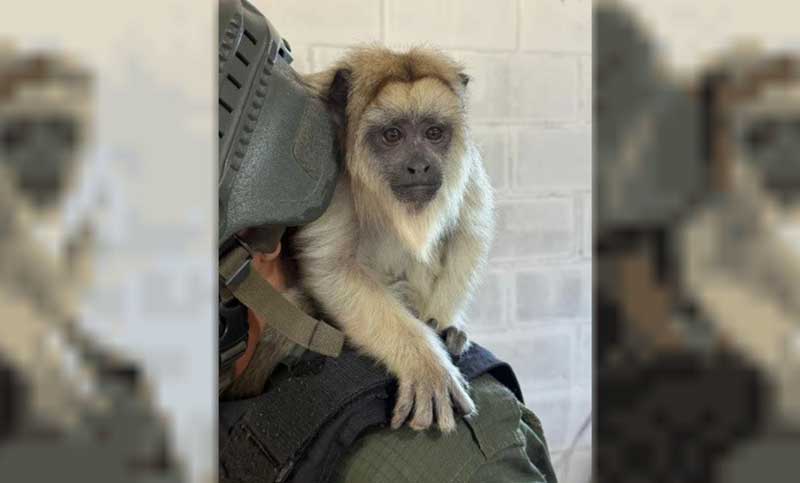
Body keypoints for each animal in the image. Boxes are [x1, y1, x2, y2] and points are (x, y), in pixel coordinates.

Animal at [289, 46, 496, 433]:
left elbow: (468, 234)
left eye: (433, 132)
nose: (420, 166)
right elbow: (331, 267)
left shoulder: (467, 168)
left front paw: (443, 327)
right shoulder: (329, 174)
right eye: (392, 135)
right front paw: (426, 363)